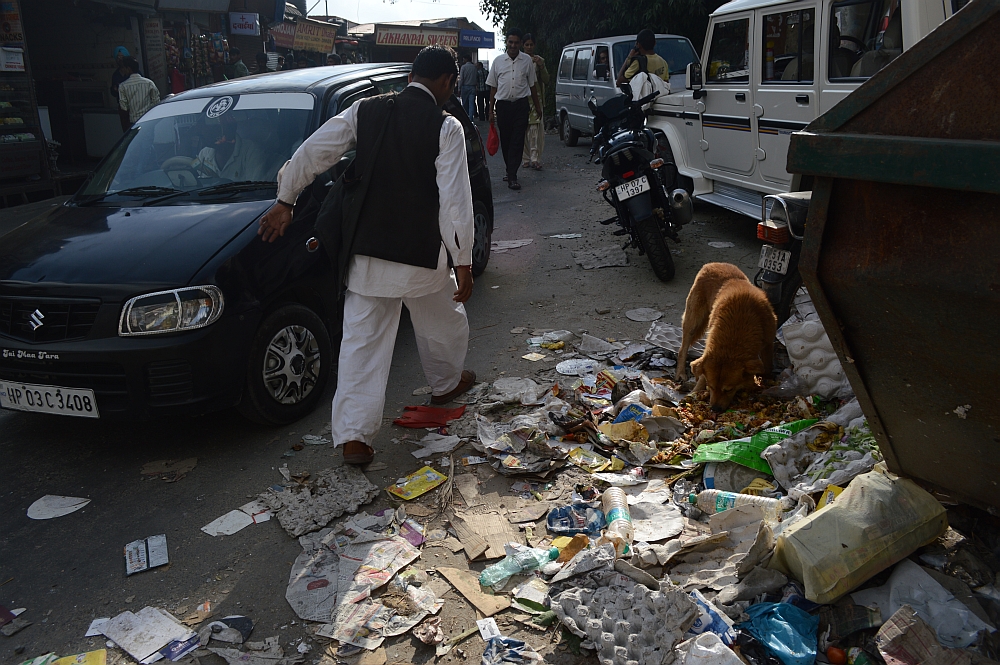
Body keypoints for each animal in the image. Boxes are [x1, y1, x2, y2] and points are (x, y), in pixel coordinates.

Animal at [676, 264, 776, 410]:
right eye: (711, 387)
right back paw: (681, 372)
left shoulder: (768, 342)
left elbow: (767, 367)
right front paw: (695, 391)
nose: (715, 409)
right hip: (693, 320)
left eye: (729, 389)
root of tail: (712, 264)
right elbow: (702, 373)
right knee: (682, 348)